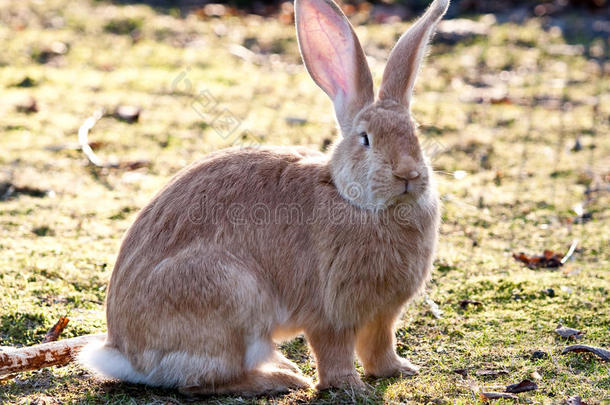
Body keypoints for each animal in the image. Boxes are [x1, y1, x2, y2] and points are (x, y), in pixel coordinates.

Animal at [77, 0, 446, 394]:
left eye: (415, 134)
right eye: (365, 139)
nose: (408, 174)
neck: (357, 201)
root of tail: (124, 352)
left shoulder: (383, 314)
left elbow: (380, 345)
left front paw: (400, 370)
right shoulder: (330, 313)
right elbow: (334, 352)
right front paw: (350, 387)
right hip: (233, 298)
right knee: (202, 381)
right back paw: (280, 377)